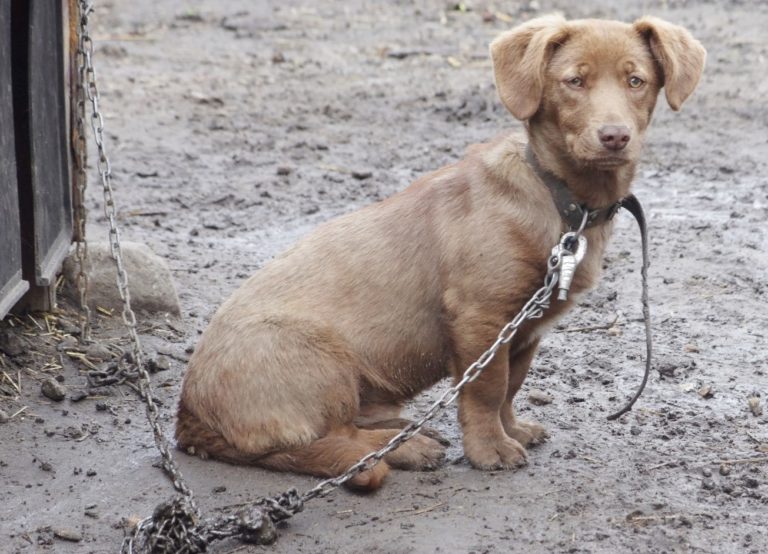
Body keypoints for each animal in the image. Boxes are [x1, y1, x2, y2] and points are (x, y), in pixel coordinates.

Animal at [177, 14, 704, 488]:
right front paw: (490, 450)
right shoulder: (480, 318)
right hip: (316, 355)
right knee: (330, 439)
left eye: (636, 81)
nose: (615, 136)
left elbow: (511, 386)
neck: (562, 199)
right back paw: (408, 447)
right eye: (574, 81)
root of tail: (189, 421)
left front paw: (512, 431)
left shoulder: (525, 329)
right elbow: (487, 389)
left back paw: (404, 430)